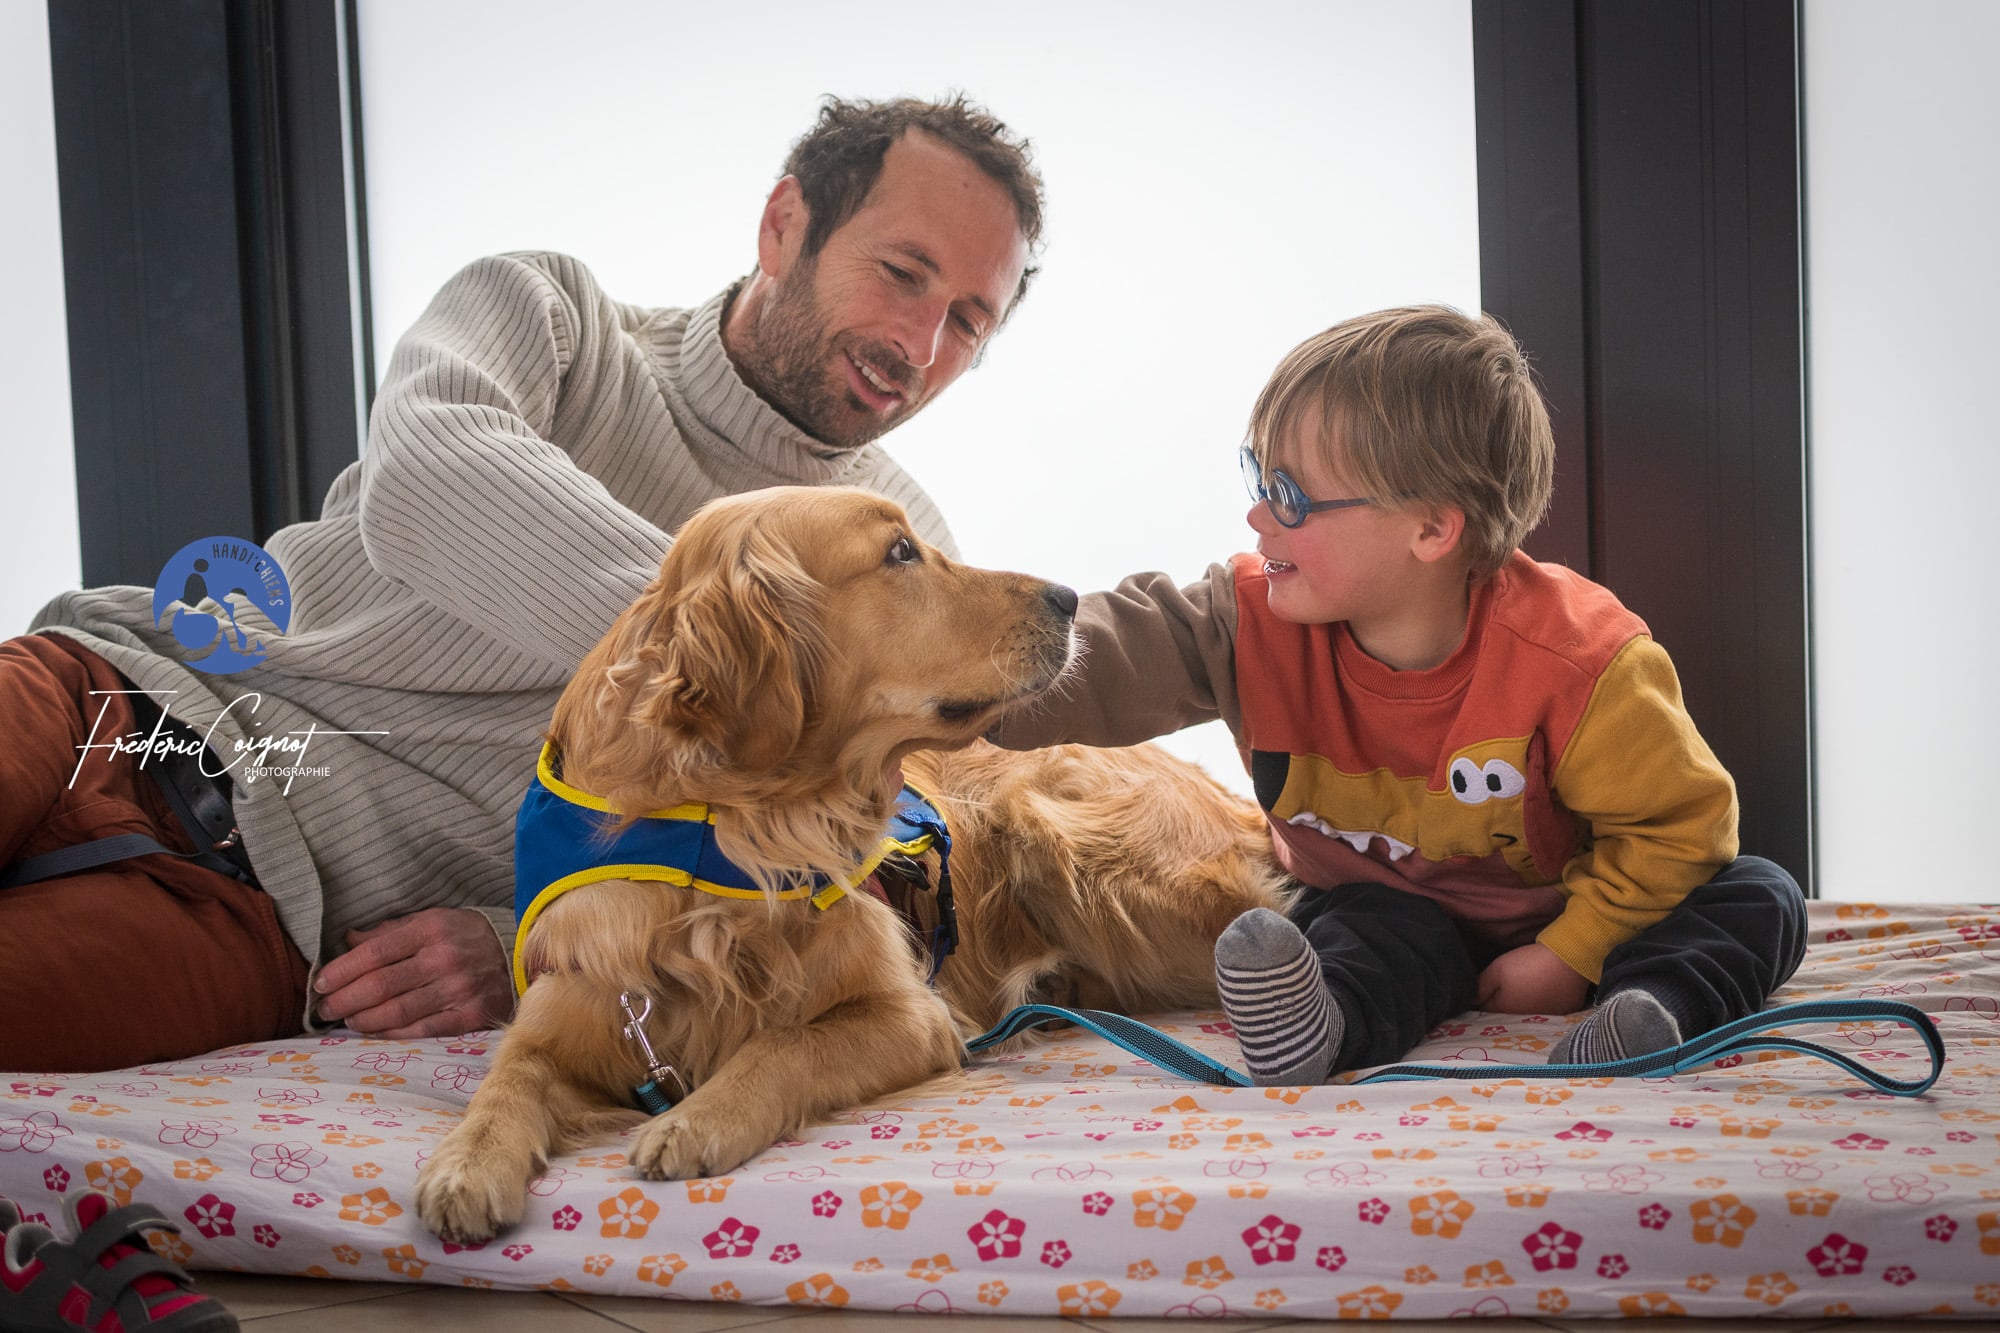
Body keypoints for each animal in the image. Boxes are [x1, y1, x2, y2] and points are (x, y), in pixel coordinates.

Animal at [412, 482, 1280, 1240]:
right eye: (899, 552)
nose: (1069, 598)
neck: (730, 841)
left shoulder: (915, 1015)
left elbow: (786, 1041)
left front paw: (699, 1117)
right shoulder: (572, 1004)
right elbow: (505, 1080)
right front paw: (464, 1166)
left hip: (1063, 839)